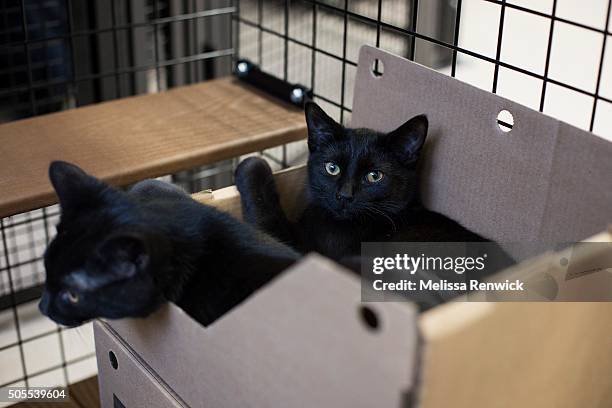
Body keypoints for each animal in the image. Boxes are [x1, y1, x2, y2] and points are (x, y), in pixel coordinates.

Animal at [234, 102, 512, 264]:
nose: (344, 195)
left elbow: (266, 217)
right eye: (332, 168)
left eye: (374, 176)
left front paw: (250, 164)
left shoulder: (302, 249)